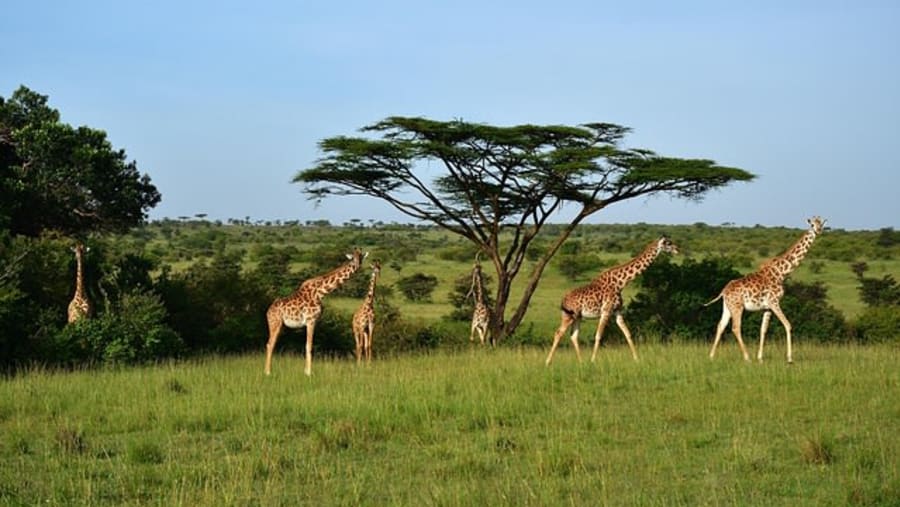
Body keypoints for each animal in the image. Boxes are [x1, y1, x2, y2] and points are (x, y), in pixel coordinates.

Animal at [265, 248, 368, 376]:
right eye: (352, 258)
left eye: (361, 257)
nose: (357, 265)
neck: (321, 292)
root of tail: (268, 312)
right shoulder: (310, 320)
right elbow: (309, 346)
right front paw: (309, 373)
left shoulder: (314, 322)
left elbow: (308, 345)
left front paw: (306, 371)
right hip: (275, 323)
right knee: (270, 344)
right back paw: (268, 372)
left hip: (280, 325)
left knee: (270, 344)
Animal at [545, 236, 679, 365]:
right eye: (668, 243)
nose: (677, 249)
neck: (620, 283)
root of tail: (563, 301)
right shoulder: (606, 311)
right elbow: (598, 336)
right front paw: (593, 361)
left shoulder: (617, 311)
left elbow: (628, 334)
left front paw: (637, 359)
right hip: (569, 315)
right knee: (558, 333)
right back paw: (548, 362)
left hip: (578, 317)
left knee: (573, 336)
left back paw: (581, 362)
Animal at [707, 216, 825, 363]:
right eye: (812, 224)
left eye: (821, 224)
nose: (818, 230)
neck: (782, 272)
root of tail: (724, 291)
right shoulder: (774, 302)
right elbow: (788, 325)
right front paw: (789, 358)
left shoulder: (767, 307)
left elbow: (763, 330)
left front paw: (760, 358)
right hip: (737, 306)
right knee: (735, 328)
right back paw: (747, 357)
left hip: (728, 307)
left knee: (720, 325)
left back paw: (711, 356)